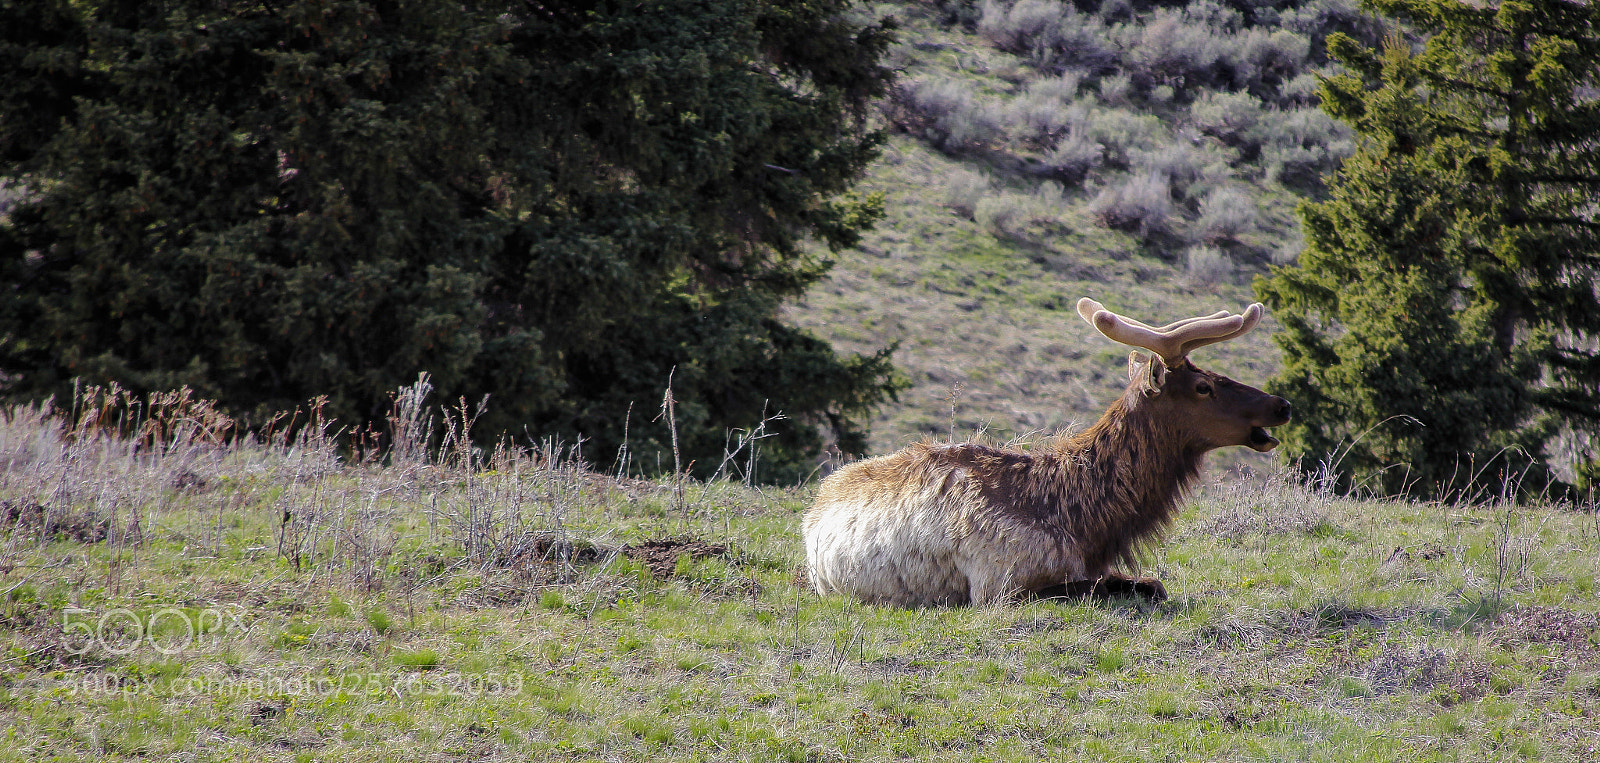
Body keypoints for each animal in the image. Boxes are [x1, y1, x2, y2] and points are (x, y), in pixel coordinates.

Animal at [802, 298, 1291, 606]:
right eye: (1203, 386)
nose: (1281, 405)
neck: (1083, 521)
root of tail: (816, 503)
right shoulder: (999, 583)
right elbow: (1108, 587)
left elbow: (1151, 584)